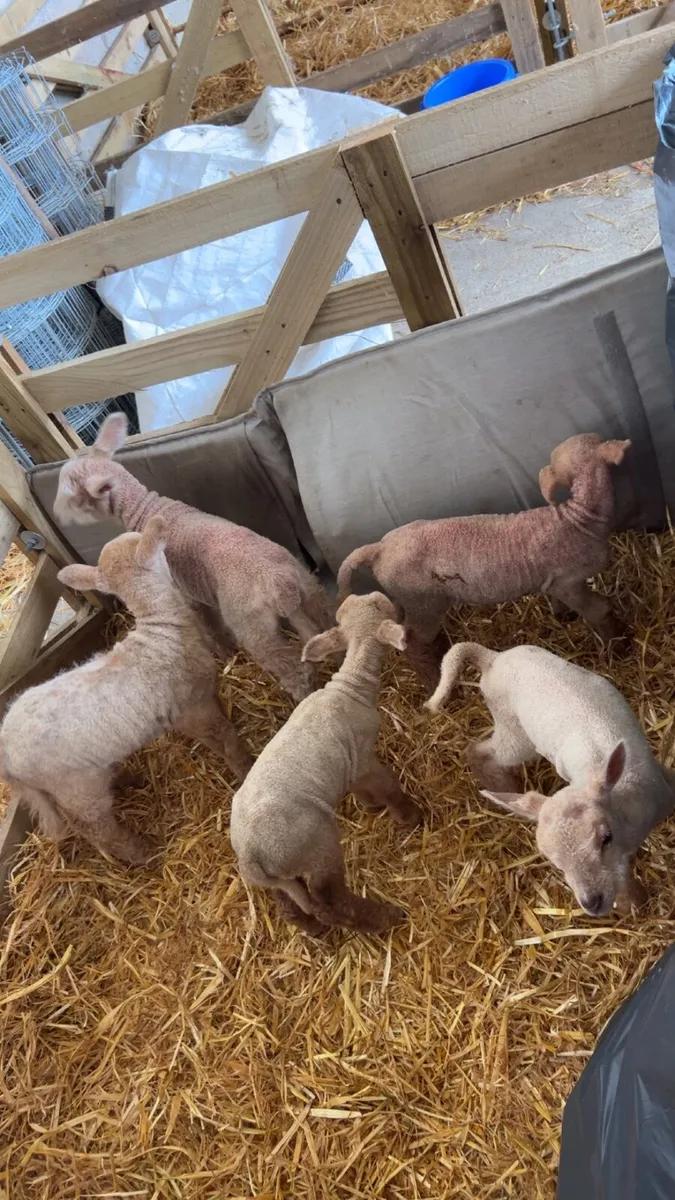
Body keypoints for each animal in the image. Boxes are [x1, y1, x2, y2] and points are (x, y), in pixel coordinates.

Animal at [0, 517, 253, 864]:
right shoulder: (190, 710)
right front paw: (246, 768)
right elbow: (225, 739)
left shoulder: (204, 692)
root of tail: (7, 758)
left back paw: (128, 779)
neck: (162, 630)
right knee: (95, 828)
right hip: (74, 787)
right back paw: (142, 854)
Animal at [53, 414, 331, 701]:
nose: (57, 516)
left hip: (254, 625)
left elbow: (209, 627)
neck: (145, 508)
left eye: (71, 496)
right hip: (310, 592)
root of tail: (280, 583)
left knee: (293, 670)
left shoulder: (184, 593)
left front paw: (224, 654)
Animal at [230, 592, 423, 936]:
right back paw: (383, 918)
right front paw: (410, 817)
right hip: (316, 847)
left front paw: (370, 805)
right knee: (330, 900)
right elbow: (389, 788)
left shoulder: (351, 762)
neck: (351, 687)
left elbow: (360, 789)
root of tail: (250, 855)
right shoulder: (364, 757)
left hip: (281, 875)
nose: (399, 606)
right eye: (382, 606)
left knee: (288, 903)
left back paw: (312, 929)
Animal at [337, 433, 630, 686]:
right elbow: (599, 610)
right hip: (424, 602)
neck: (580, 518)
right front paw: (618, 649)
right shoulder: (568, 581)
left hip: (405, 599)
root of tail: (379, 548)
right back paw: (435, 681)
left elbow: (558, 601)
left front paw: (563, 616)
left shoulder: (552, 581)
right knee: (414, 643)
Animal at [425, 641, 675, 916]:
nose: (591, 902)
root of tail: (492, 658)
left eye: (605, 838)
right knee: (480, 750)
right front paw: (632, 902)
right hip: (513, 730)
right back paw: (502, 785)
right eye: (555, 863)